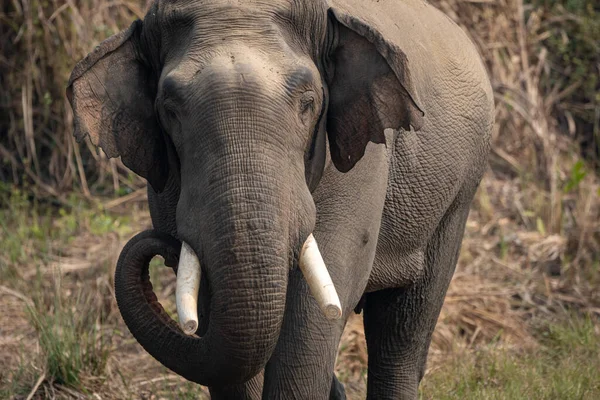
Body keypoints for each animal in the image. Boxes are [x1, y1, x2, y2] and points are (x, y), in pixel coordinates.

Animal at [68, 0, 494, 400]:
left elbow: (316, 305)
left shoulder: (361, 163)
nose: (163, 245)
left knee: (403, 329)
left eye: (308, 103)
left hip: (461, 190)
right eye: (169, 109)